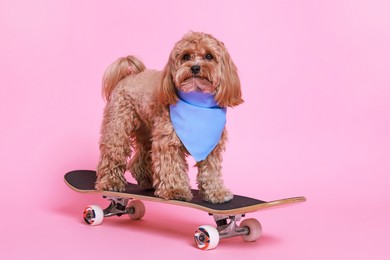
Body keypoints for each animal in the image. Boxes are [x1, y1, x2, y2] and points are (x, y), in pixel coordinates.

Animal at [96, 32, 242, 203]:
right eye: (186, 56)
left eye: (209, 56)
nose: (195, 67)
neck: (197, 101)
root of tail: (129, 76)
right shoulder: (168, 142)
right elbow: (171, 166)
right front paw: (175, 190)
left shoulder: (211, 146)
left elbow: (211, 170)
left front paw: (216, 192)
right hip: (118, 128)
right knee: (113, 153)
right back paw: (110, 181)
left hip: (147, 130)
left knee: (141, 157)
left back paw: (147, 180)